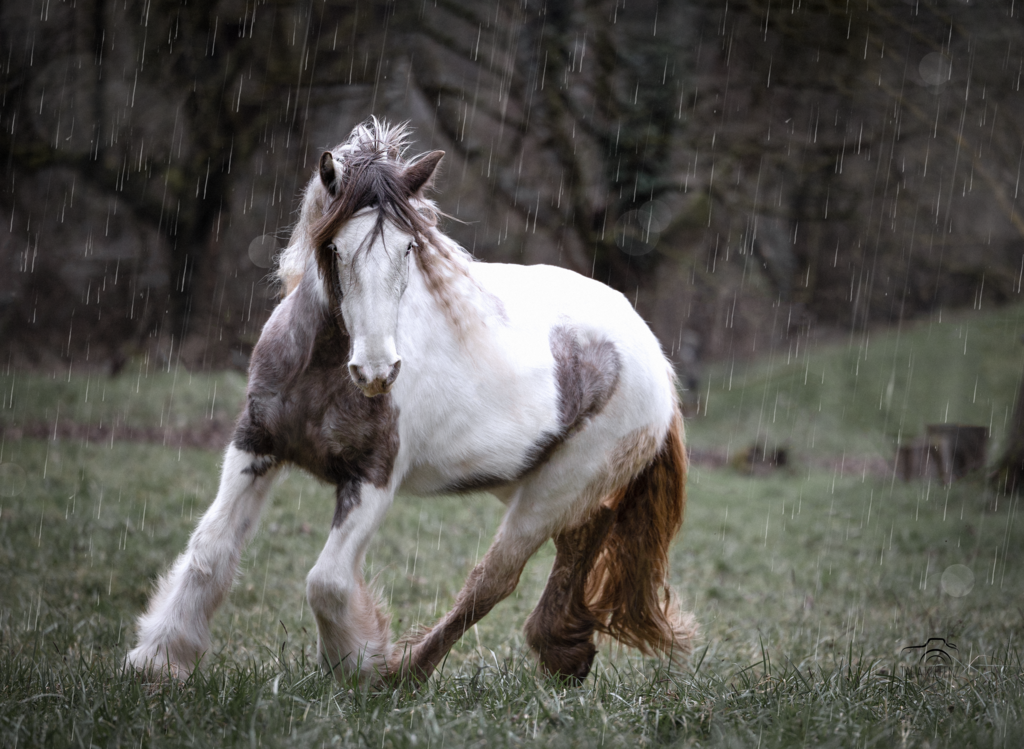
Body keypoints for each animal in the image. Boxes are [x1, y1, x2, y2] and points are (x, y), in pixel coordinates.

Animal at [126, 118, 697, 685]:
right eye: (334, 248)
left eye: (407, 248)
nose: (377, 372)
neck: (322, 367)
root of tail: (654, 355)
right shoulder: (255, 445)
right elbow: (210, 551)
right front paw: (159, 661)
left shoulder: (374, 478)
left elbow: (327, 582)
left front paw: (357, 669)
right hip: (524, 478)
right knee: (585, 530)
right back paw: (563, 652)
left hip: (555, 488)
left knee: (494, 579)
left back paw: (406, 675)